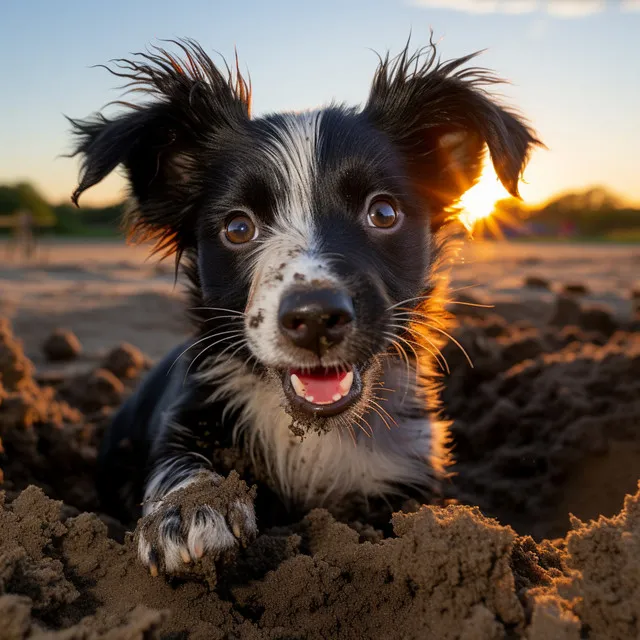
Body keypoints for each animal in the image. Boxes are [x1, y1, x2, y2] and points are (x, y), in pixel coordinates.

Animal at [69, 38, 540, 576]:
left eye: (383, 212)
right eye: (237, 227)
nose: (314, 318)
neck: (313, 436)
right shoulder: (187, 410)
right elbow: (178, 457)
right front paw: (189, 507)